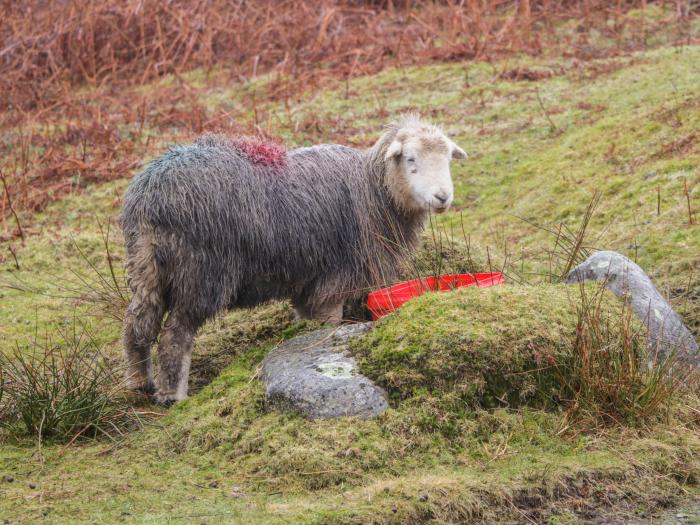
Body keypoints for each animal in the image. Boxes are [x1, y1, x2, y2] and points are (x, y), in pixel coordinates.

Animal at [121, 115, 464, 402]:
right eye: (410, 159)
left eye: (447, 159)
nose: (443, 197)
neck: (373, 191)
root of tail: (151, 196)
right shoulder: (335, 277)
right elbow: (330, 321)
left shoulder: (307, 277)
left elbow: (304, 316)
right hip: (201, 272)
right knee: (175, 336)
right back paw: (173, 395)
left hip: (145, 265)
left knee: (137, 325)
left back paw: (140, 382)